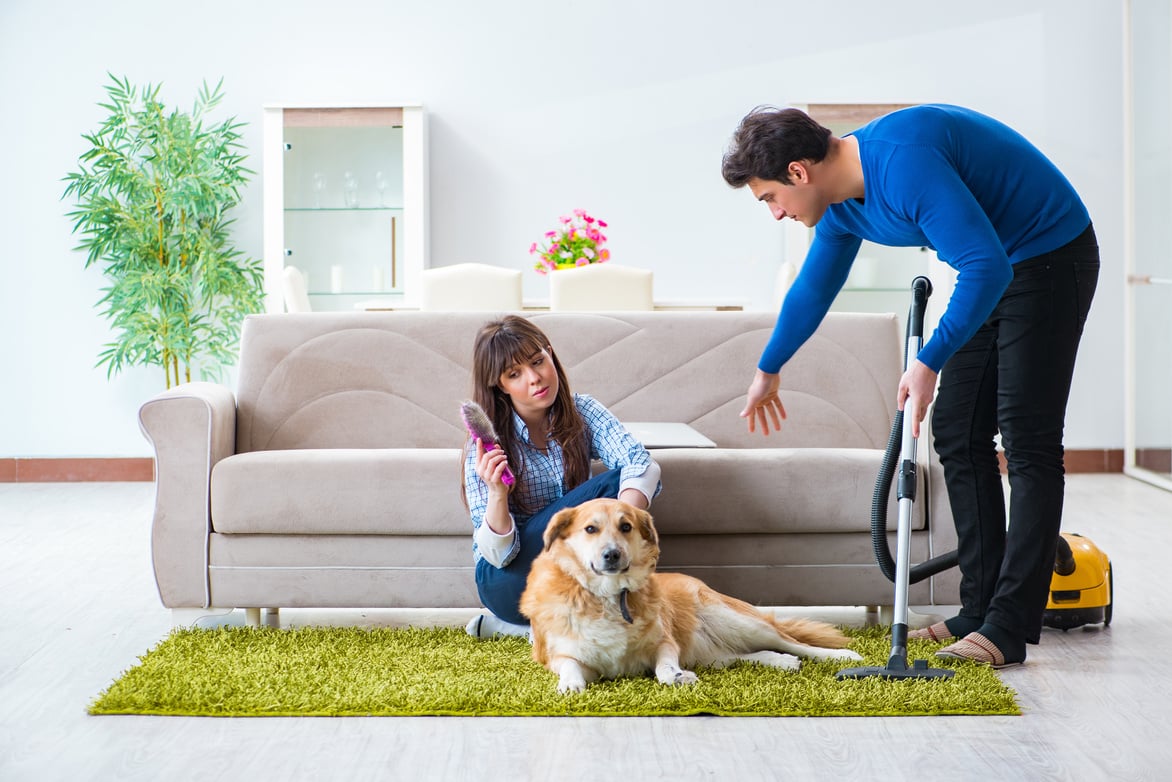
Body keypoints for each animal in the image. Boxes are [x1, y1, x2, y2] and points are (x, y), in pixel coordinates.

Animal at [520, 499, 862, 694]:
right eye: (590, 529)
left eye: (625, 526)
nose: (612, 555)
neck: (609, 596)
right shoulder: (563, 655)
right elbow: (570, 666)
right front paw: (570, 684)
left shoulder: (665, 644)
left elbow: (665, 669)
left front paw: (676, 677)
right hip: (710, 654)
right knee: (743, 655)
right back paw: (779, 661)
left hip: (735, 620)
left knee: (790, 640)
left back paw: (840, 657)